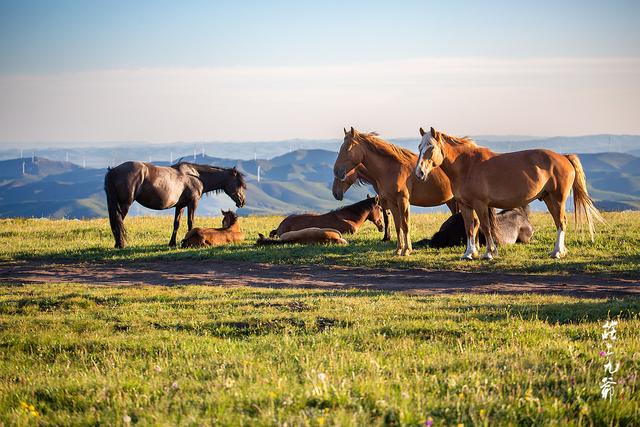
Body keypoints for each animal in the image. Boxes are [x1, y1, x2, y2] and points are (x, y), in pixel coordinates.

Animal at [104, 161, 246, 248]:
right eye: (239, 184)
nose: (242, 202)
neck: (195, 176)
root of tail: (113, 171)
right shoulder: (192, 203)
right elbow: (190, 222)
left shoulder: (180, 206)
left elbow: (176, 223)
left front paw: (172, 243)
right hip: (125, 204)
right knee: (119, 221)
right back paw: (120, 244)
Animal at [333, 127, 456, 256]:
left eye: (347, 148)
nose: (336, 171)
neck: (392, 169)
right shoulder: (392, 202)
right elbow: (397, 225)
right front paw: (398, 249)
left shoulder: (403, 201)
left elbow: (405, 225)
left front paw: (406, 250)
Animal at [415, 127, 603, 260]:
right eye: (419, 147)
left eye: (431, 147)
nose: (419, 173)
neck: (467, 165)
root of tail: (564, 157)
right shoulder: (465, 205)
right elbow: (470, 227)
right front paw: (469, 253)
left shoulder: (480, 204)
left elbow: (485, 226)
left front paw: (489, 253)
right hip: (549, 199)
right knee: (559, 222)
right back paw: (559, 251)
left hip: (558, 199)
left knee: (562, 222)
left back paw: (557, 252)